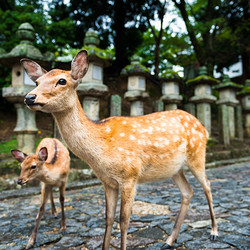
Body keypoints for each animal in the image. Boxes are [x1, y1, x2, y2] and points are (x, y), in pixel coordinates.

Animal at [20, 49, 218, 249]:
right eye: (37, 82)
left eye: (62, 81)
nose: (29, 97)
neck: (99, 152)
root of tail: (203, 128)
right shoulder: (107, 181)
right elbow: (108, 218)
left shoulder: (130, 176)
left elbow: (123, 220)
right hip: (174, 169)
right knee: (188, 192)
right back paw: (169, 240)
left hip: (197, 155)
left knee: (208, 185)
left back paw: (214, 232)